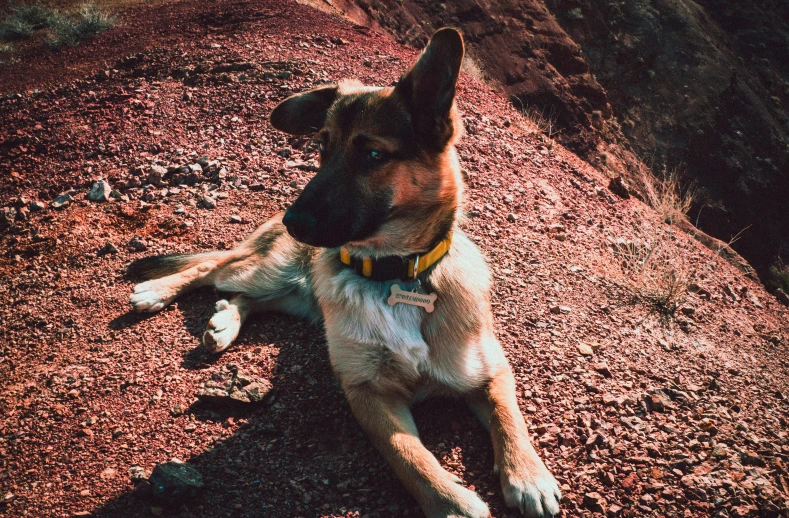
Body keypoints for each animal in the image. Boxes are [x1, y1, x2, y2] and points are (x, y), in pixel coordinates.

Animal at [129, 28, 560, 518]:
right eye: (322, 147)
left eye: (372, 153)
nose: (294, 221)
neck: (396, 276)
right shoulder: (367, 393)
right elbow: (408, 455)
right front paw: (452, 502)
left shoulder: (490, 370)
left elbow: (510, 417)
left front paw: (528, 475)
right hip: (267, 269)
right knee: (210, 267)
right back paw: (156, 291)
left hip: (296, 296)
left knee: (247, 299)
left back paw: (223, 323)